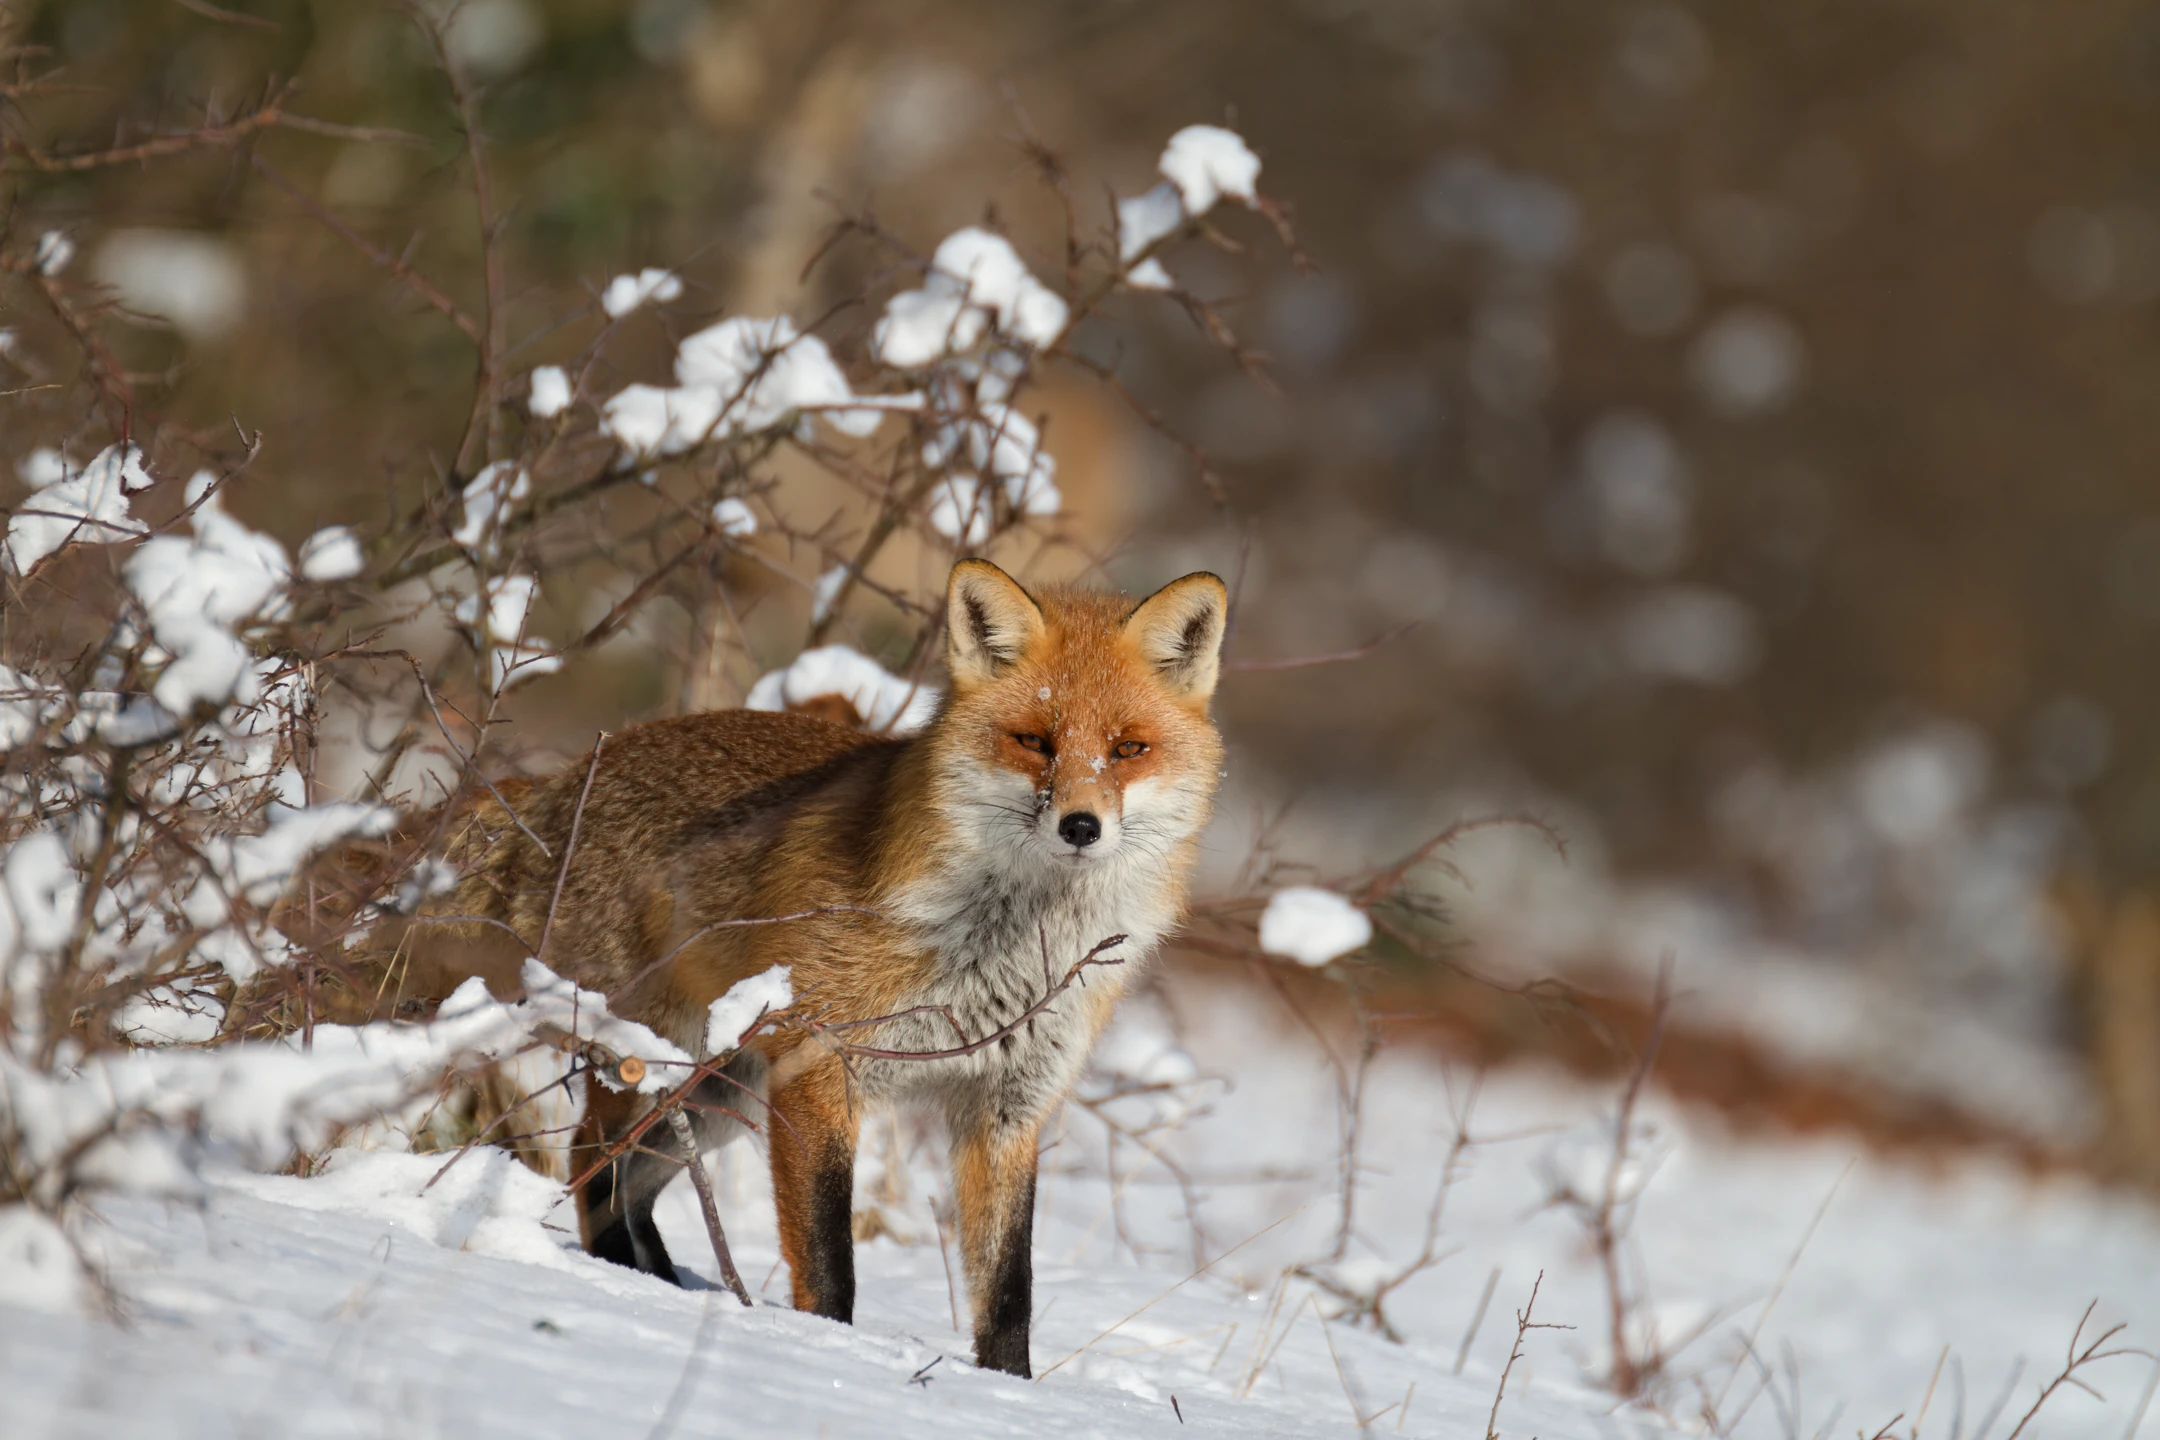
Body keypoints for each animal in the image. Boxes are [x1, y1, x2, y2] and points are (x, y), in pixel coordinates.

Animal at [369, 559, 1227, 1377]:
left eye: (1128, 748)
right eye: (1035, 741)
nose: (1081, 826)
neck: (1003, 948)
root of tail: (557, 782)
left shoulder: (1008, 1108)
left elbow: (1008, 1291)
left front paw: (1008, 1393)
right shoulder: (819, 1067)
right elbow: (827, 1262)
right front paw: (825, 1354)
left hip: (717, 1095)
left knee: (624, 1180)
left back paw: (661, 1284)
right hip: (661, 1064)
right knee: (592, 1165)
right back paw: (628, 1284)